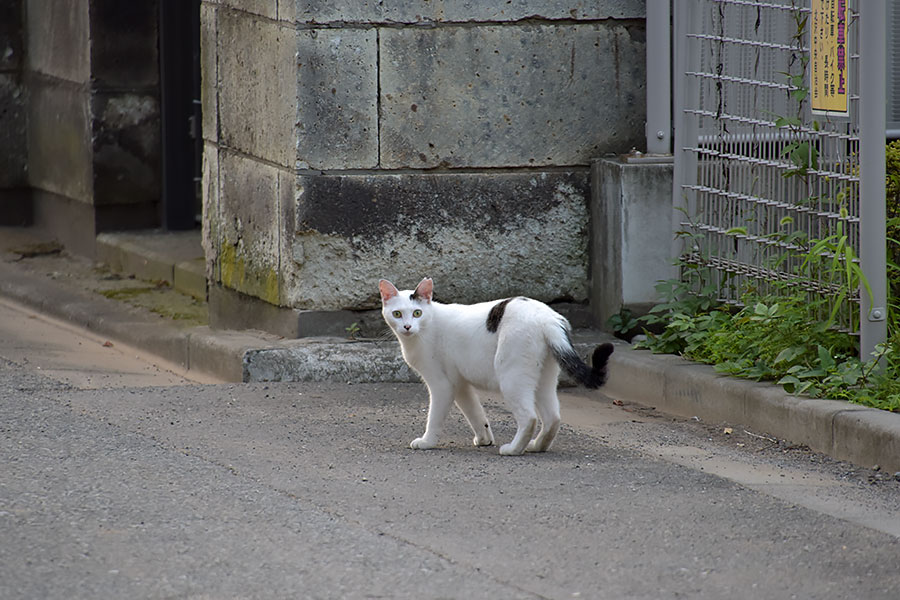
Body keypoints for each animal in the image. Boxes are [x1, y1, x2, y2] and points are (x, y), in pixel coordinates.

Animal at [376, 276, 616, 454]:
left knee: (529, 417)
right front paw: (484, 438)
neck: (425, 328)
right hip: (544, 378)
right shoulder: (459, 383)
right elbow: (474, 412)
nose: (407, 326)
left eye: (417, 313)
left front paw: (427, 442)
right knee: (553, 418)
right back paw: (537, 446)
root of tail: (547, 318)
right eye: (397, 314)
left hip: (511, 376)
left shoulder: (441, 384)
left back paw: (513, 449)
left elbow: (434, 417)